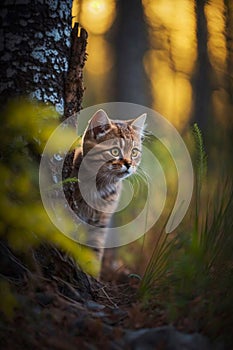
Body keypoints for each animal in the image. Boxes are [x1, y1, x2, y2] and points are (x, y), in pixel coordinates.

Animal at [66, 109, 146, 274]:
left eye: (134, 152)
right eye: (114, 151)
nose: (129, 164)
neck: (99, 187)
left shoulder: (100, 225)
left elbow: (95, 252)